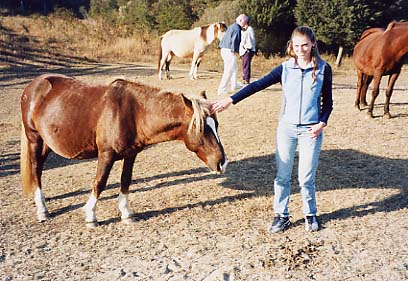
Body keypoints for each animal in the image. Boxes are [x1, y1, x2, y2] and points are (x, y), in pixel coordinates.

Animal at [20, 74, 228, 225]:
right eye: (201, 128)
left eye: (216, 124)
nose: (222, 162)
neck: (133, 113)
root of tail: (34, 85)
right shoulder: (106, 154)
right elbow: (100, 182)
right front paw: (91, 215)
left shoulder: (130, 155)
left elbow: (125, 181)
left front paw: (126, 213)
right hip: (34, 139)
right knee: (36, 168)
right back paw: (42, 209)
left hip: (47, 142)